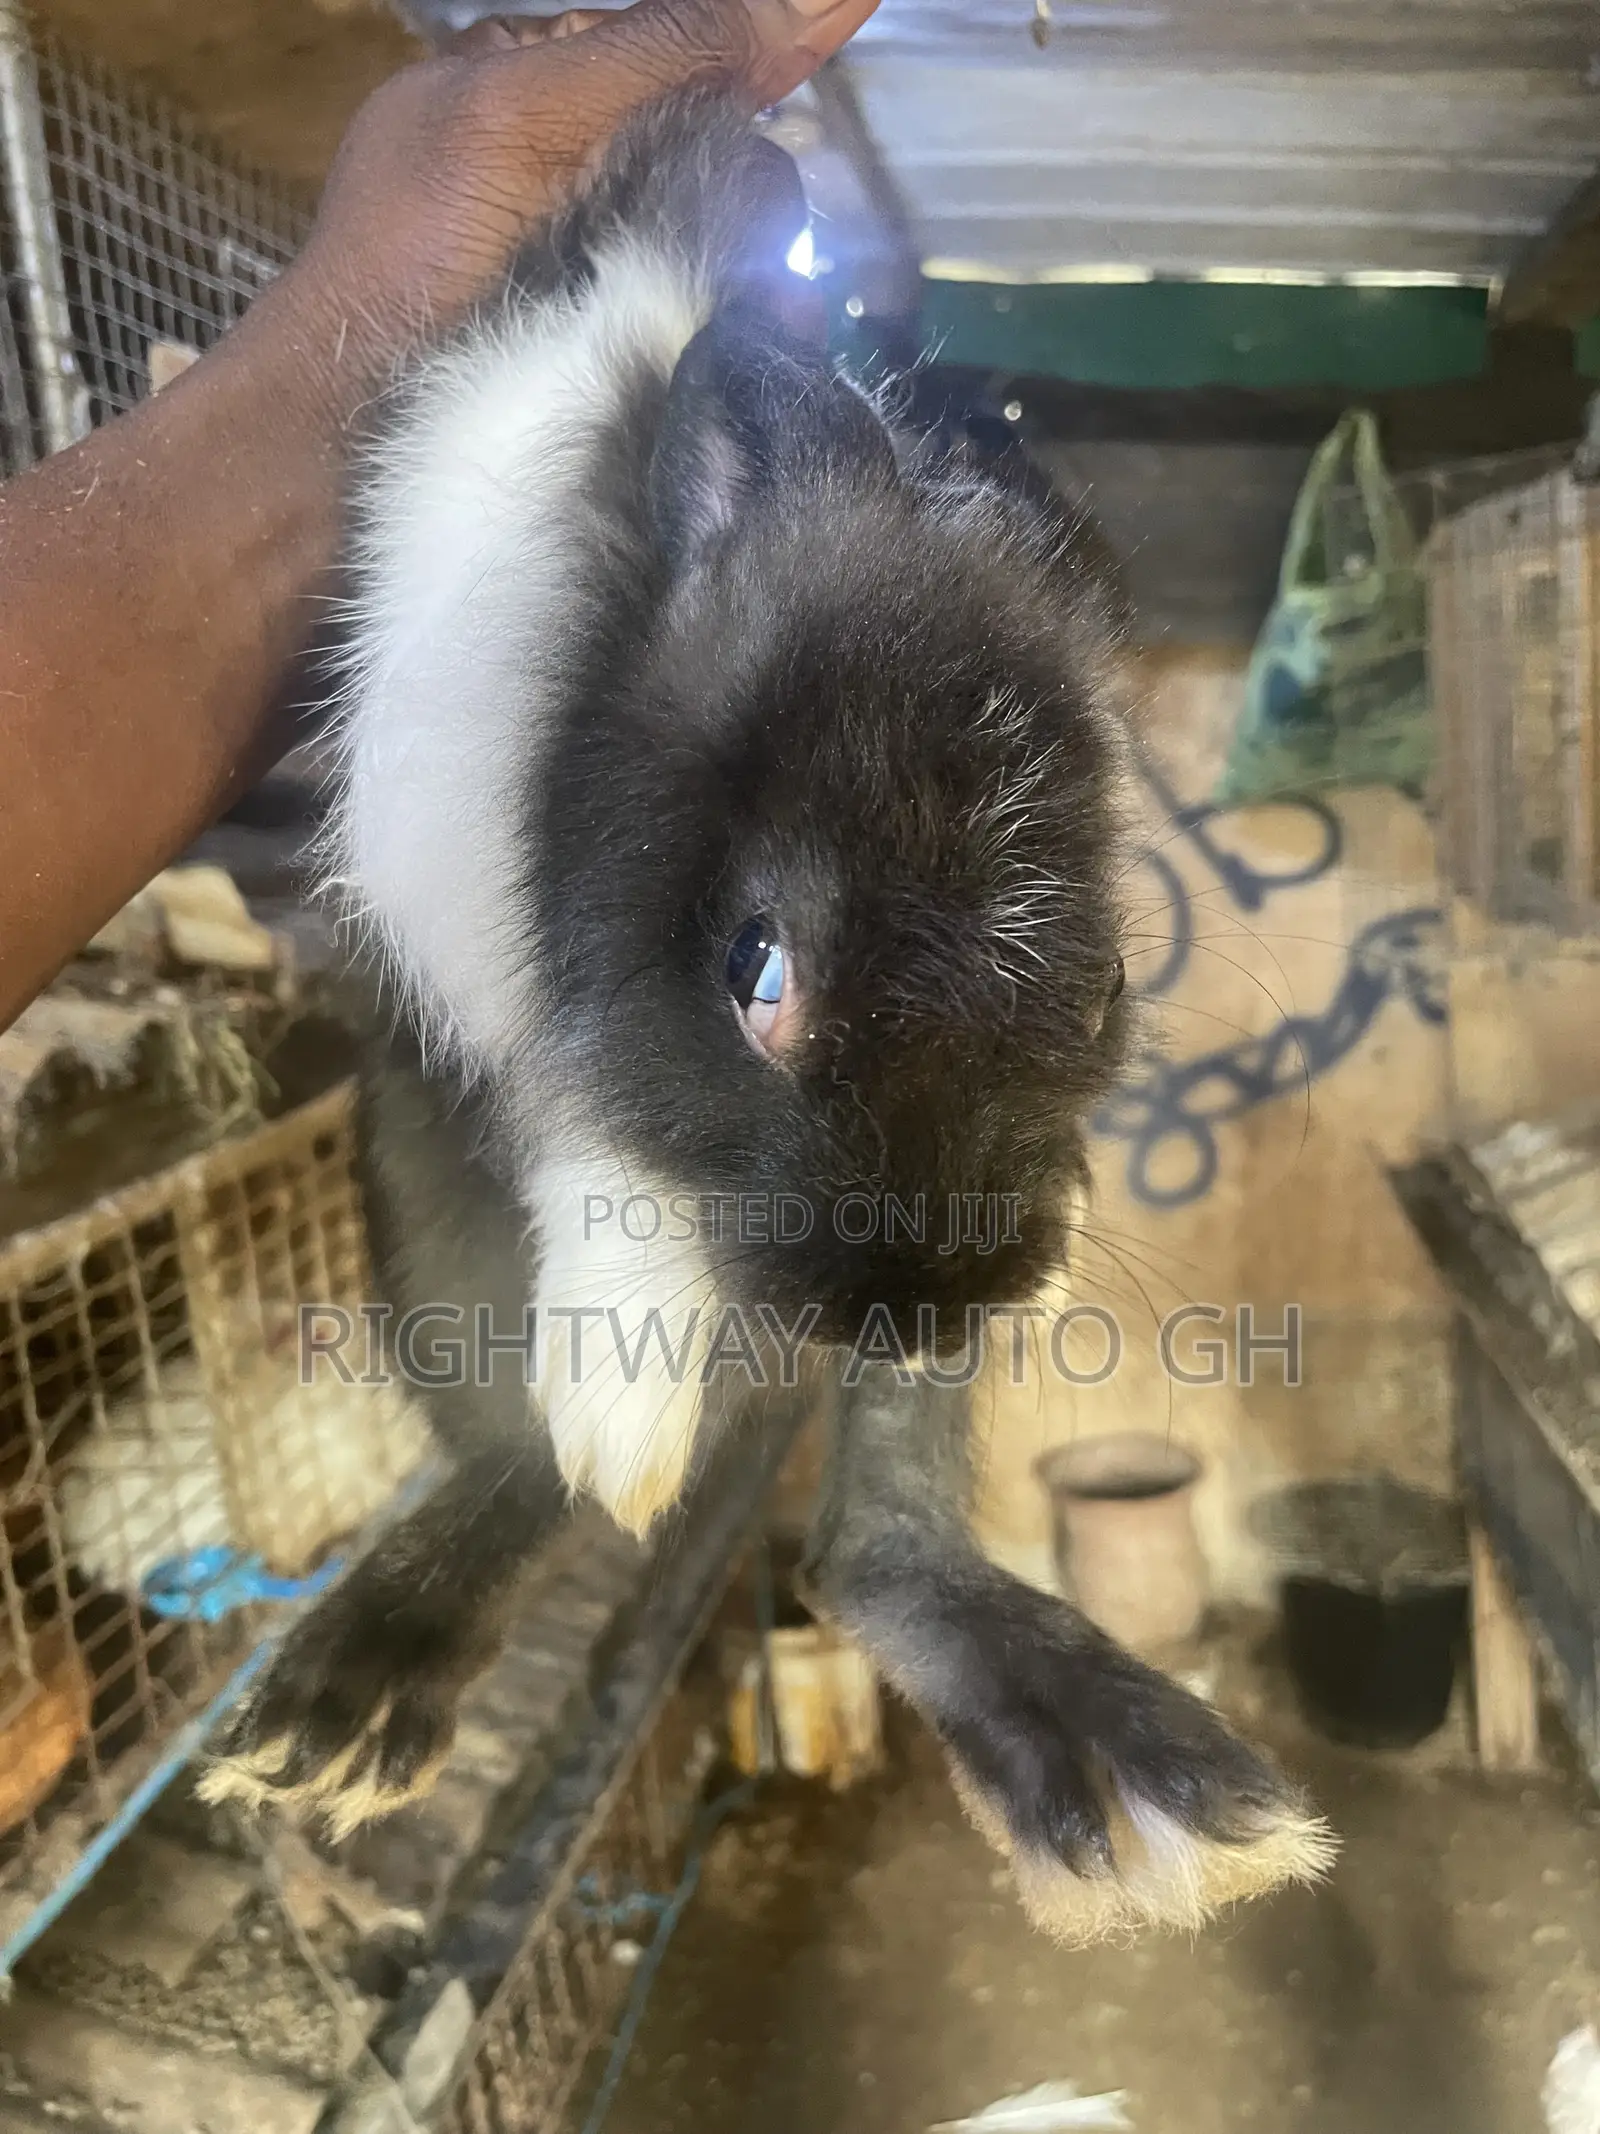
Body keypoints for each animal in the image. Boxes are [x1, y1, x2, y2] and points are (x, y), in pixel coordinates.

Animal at [203, 88, 1333, 1937]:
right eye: (760, 971)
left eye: (1108, 982)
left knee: (877, 1548)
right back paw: (358, 1700)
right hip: (417, 1206)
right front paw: (628, 1412)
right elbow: (578, 1114)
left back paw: (1126, 1772)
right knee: (505, 1454)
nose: (920, 1308)